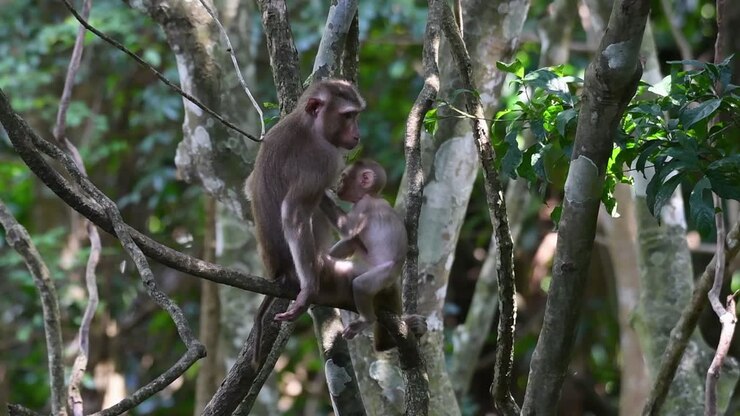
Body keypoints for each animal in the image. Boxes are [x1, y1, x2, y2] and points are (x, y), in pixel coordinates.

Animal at [324, 159, 426, 350]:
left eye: (343, 177)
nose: (338, 185)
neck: (374, 196)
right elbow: (351, 238)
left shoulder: (362, 206)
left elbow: (347, 230)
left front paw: (321, 195)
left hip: (381, 273)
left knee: (361, 285)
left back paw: (367, 319)